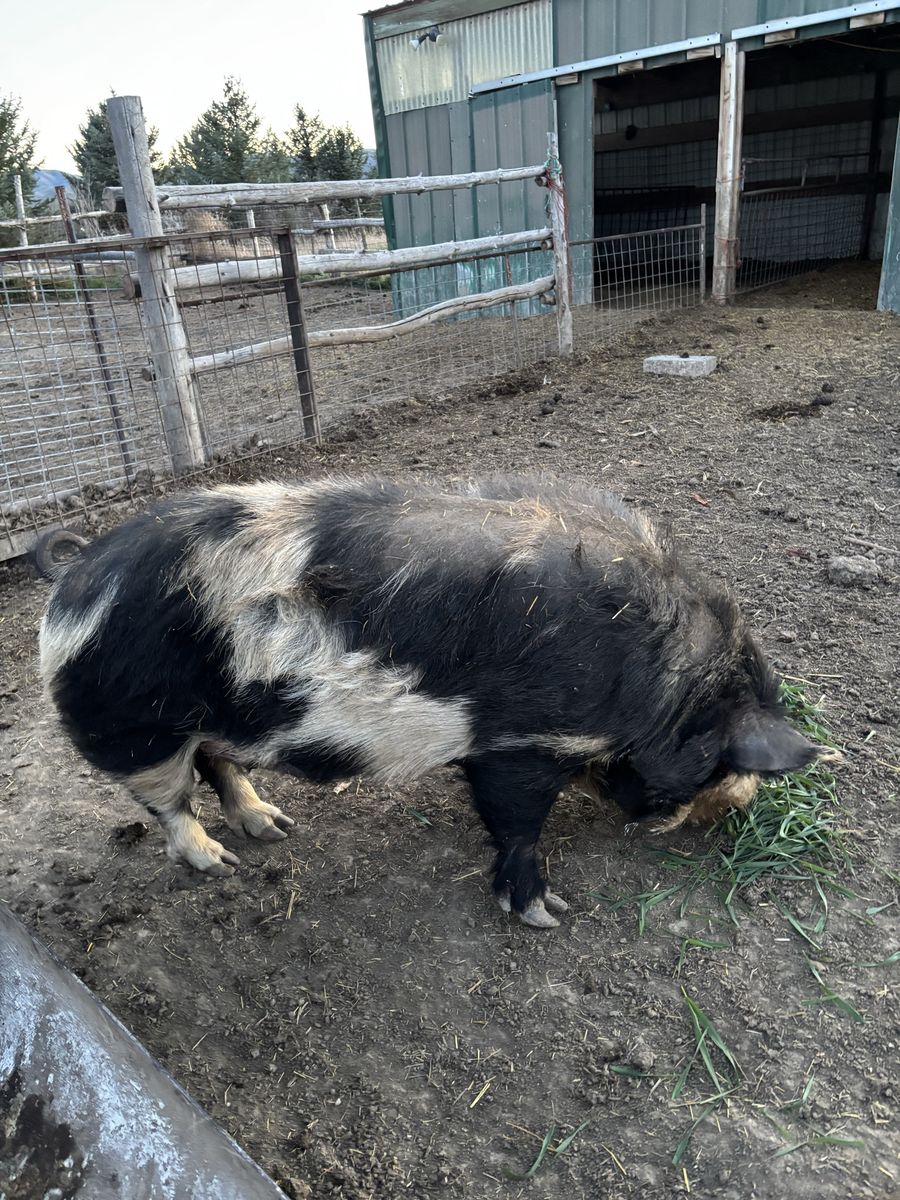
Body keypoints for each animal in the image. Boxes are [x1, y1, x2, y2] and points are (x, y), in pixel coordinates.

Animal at [36, 476, 832, 928]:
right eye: (715, 761)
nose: (731, 805)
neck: (667, 680)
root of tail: (76, 574)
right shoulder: (522, 740)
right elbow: (516, 824)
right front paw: (547, 916)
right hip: (133, 726)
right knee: (170, 801)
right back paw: (218, 864)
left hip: (214, 719)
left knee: (220, 765)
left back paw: (274, 828)